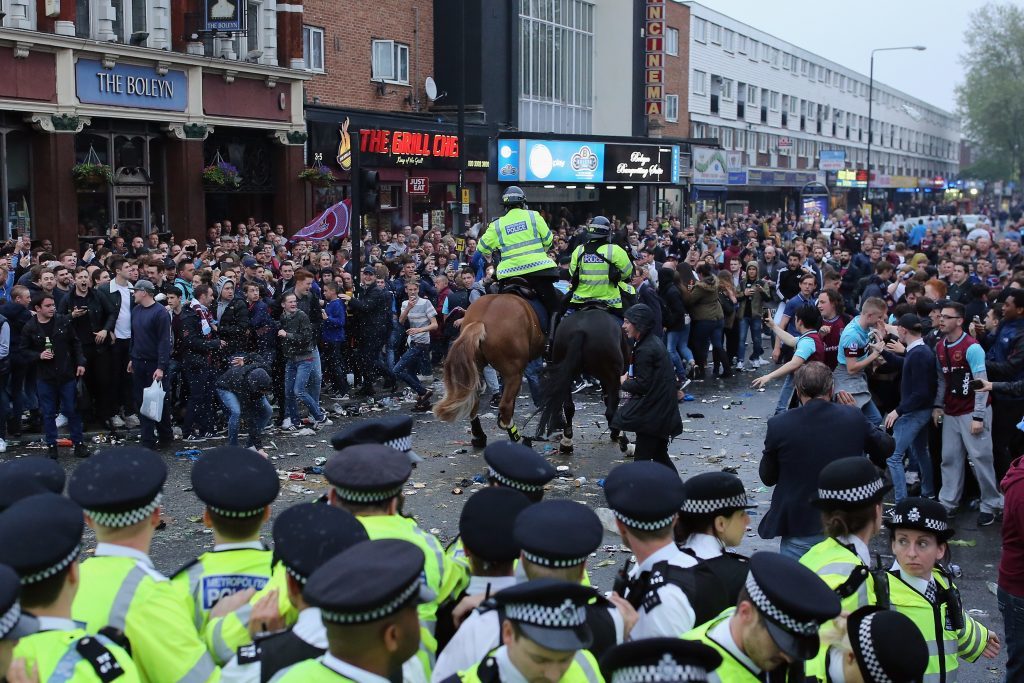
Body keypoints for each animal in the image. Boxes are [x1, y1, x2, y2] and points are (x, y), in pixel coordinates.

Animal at [432, 294, 544, 448]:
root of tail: (481, 320)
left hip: (478, 370)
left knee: (475, 402)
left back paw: (479, 436)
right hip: (514, 373)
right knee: (506, 406)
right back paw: (517, 439)